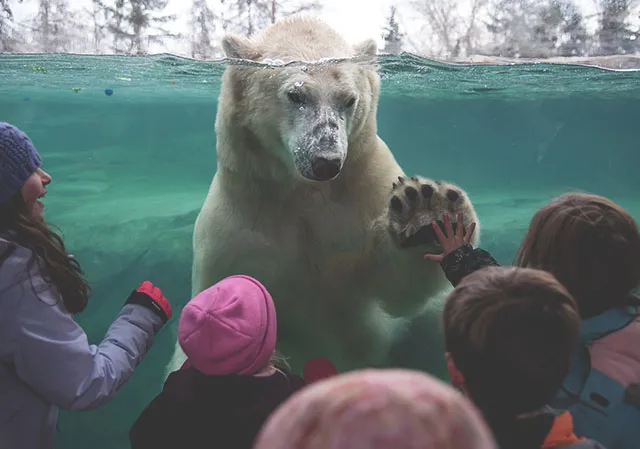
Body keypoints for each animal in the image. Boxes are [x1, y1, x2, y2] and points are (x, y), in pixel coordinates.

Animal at [168, 14, 478, 374]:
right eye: (295, 95)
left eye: (349, 99)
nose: (326, 161)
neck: (303, 193)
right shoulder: (237, 230)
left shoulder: (364, 190)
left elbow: (394, 289)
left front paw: (425, 211)